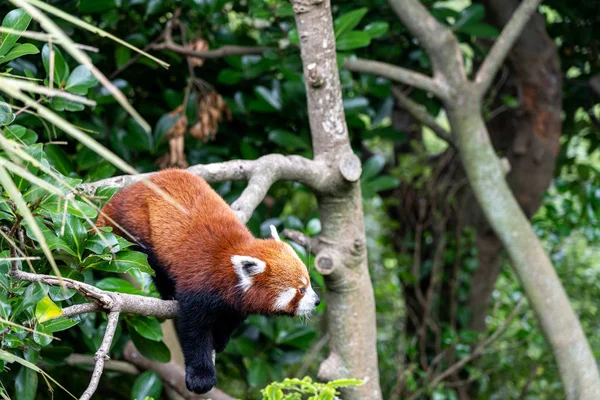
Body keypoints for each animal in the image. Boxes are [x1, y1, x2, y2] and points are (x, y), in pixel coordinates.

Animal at [95, 168, 318, 394]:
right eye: (301, 290)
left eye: (308, 283)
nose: (317, 301)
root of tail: (128, 192)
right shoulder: (200, 284)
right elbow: (194, 331)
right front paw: (201, 376)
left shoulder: (235, 302)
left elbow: (230, 318)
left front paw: (220, 339)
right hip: (139, 226)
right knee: (153, 263)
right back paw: (168, 293)